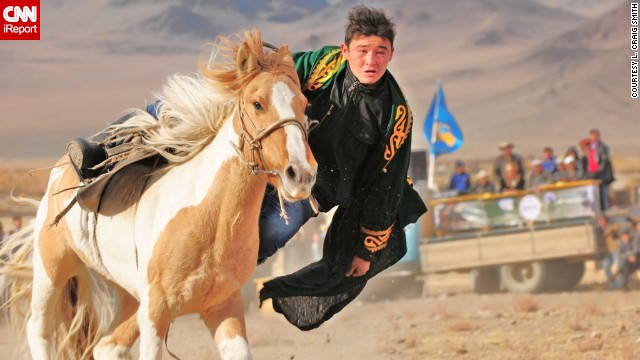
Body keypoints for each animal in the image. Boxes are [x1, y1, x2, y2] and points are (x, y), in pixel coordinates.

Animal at [0, 30, 318, 360]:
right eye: (257, 103)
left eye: (303, 104)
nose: (301, 174)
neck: (210, 221)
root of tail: (59, 171)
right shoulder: (155, 311)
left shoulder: (224, 306)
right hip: (52, 268)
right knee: (39, 329)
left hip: (125, 294)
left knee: (106, 346)